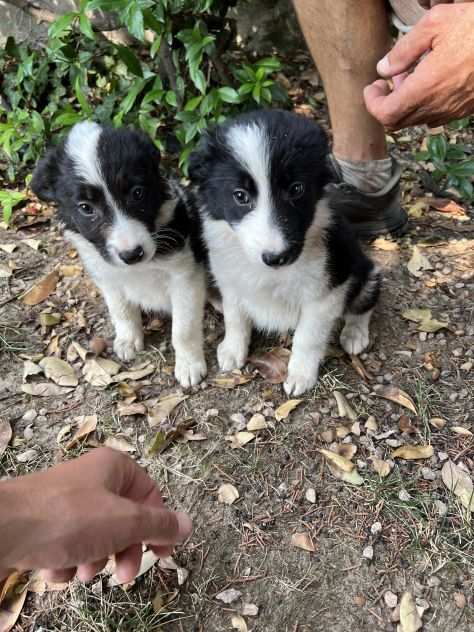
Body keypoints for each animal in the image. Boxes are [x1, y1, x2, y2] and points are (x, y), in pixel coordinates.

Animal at [31, 118, 206, 386]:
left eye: (137, 192)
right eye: (86, 208)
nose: (132, 254)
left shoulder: (185, 276)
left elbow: (183, 329)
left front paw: (189, 365)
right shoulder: (107, 277)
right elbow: (120, 310)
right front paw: (128, 339)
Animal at [189, 108, 378, 396]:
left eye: (297, 189)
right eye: (240, 195)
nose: (277, 258)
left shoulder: (325, 293)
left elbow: (307, 337)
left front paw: (300, 375)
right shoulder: (230, 281)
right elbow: (235, 318)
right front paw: (232, 350)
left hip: (362, 270)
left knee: (364, 303)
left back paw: (354, 334)